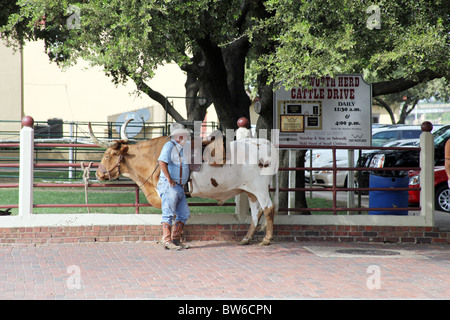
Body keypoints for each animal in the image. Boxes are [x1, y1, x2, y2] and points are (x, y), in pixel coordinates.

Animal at [88, 121, 278, 246]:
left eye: (108, 154)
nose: (98, 173)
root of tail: (265, 143)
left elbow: (170, 217)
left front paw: (169, 240)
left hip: (260, 188)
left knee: (268, 208)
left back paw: (266, 240)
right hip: (251, 191)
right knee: (256, 211)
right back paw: (246, 238)